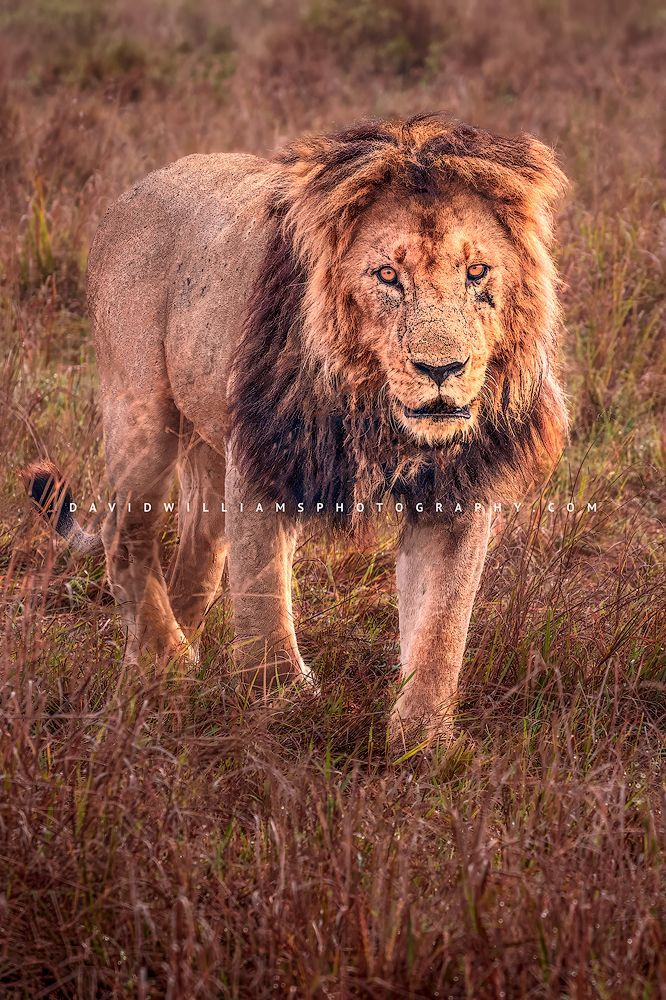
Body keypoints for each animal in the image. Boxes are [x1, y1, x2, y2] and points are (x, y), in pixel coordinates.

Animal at [26, 113, 568, 737]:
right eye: (388, 276)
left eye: (477, 272)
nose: (442, 369)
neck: (376, 411)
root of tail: (137, 188)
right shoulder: (261, 454)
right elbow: (263, 594)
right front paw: (279, 700)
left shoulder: (456, 490)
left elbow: (441, 625)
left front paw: (423, 739)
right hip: (141, 408)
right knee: (124, 529)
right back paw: (167, 662)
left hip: (207, 444)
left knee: (198, 555)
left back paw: (166, 668)